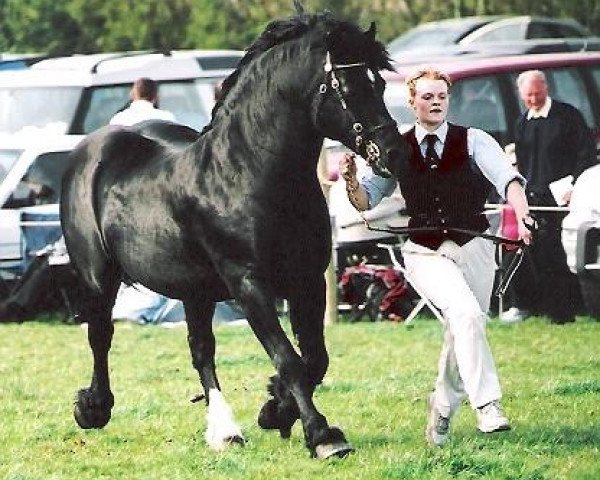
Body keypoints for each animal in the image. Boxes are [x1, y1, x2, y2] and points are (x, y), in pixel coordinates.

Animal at [59, 4, 408, 462]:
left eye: (380, 82)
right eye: (346, 86)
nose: (395, 154)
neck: (248, 173)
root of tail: (91, 148)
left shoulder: (307, 280)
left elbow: (314, 358)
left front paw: (275, 410)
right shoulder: (248, 284)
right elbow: (289, 358)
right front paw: (323, 436)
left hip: (194, 290)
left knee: (201, 351)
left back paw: (225, 431)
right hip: (99, 278)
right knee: (101, 335)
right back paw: (93, 409)